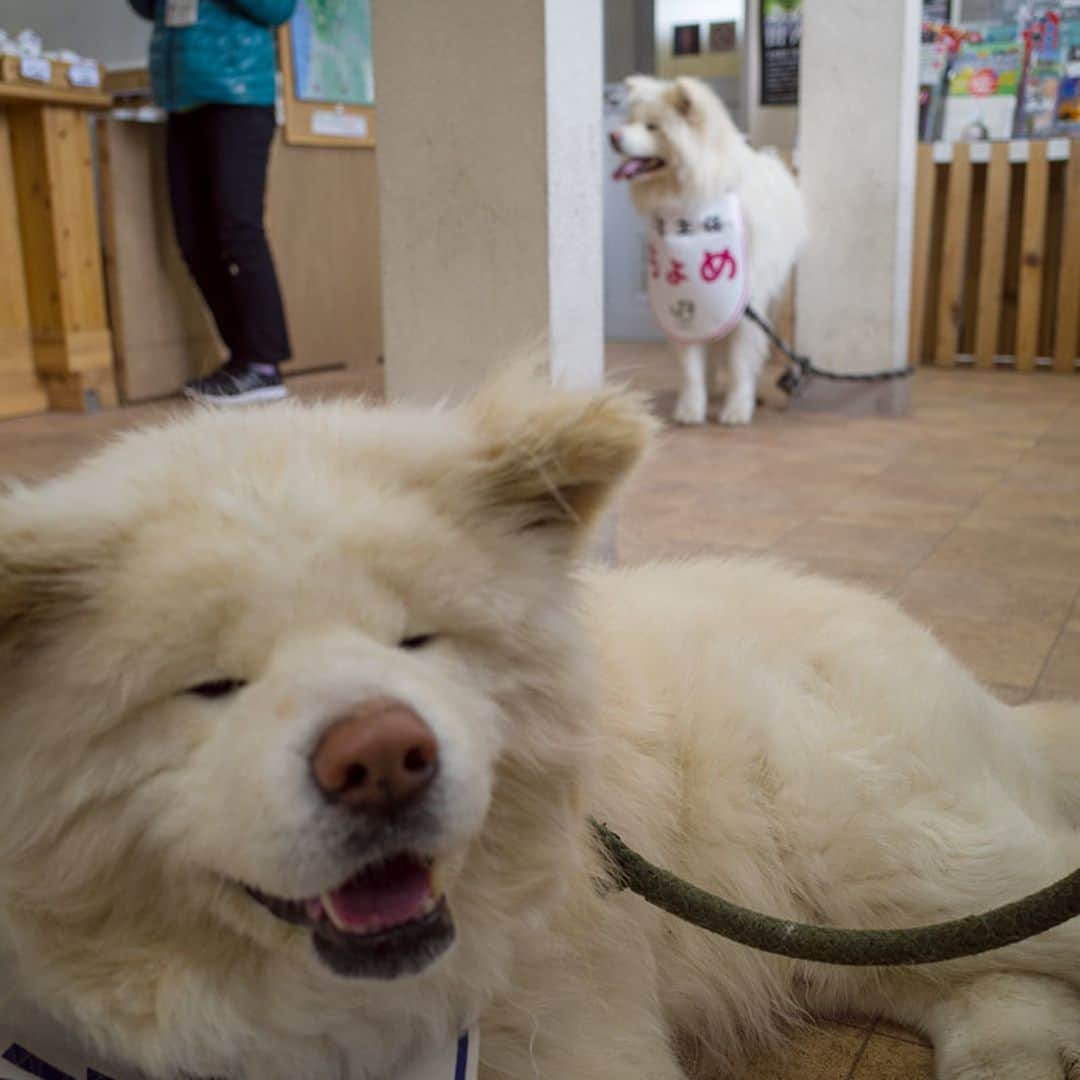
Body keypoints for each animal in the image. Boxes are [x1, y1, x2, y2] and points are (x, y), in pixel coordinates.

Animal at [2, 375, 1080, 1075]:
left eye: (418, 639)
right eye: (214, 684)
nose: (383, 758)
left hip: (889, 857)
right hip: (835, 930)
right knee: (996, 985)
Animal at [613, 72, 807, 421]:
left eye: (652, 126)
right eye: (631, 121)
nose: (613, 135)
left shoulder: (747, 305)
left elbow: (741, 362)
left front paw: (737, 409)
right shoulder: (684, 304)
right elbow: (691, 366)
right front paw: (691, 408)